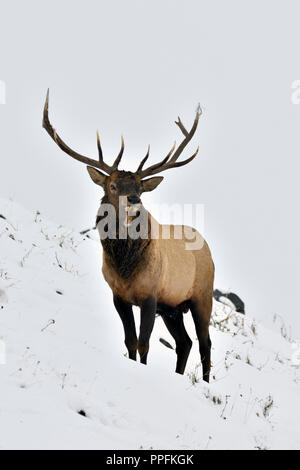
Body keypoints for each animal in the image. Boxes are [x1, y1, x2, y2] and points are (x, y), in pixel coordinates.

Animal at [42, 91, 216, 382]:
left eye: (140, 188)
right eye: (112, 185)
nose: (134, 201)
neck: (125, 268)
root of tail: (209, 251)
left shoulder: (150, 295)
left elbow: (144, 343)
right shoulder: (119, 296)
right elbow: (130, 341)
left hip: (202, 296)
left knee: (205, 343)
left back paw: (204, 383)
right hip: (172, 308)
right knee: (185, 342)